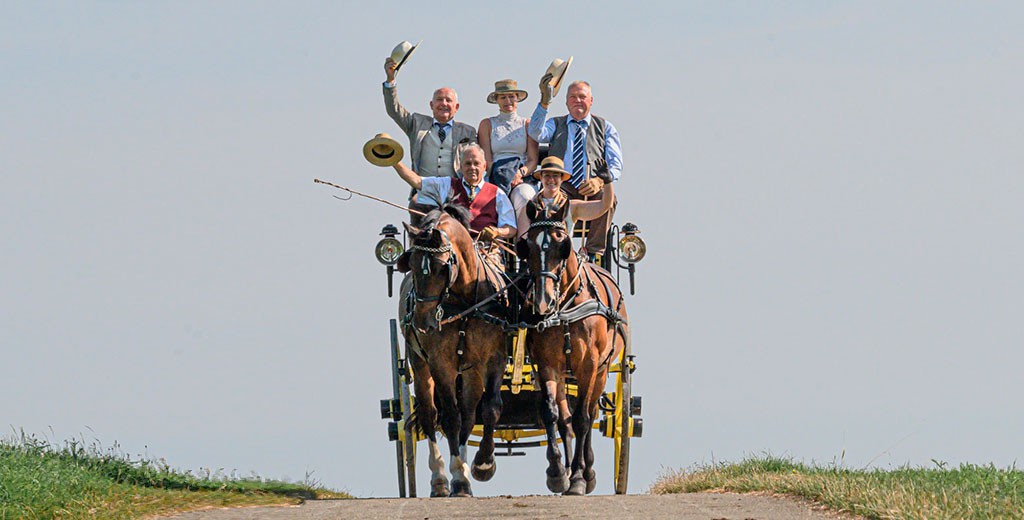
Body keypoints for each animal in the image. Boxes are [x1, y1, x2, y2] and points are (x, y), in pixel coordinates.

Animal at [395, 201, 507, 495]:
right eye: (410, 264)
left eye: (442, 268)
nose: (422, 322)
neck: (465, 302)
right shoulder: (440, 363)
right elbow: (449, 418)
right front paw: (457, 477)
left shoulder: (494, 358)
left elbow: (489, 408)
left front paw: (482, 464)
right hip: (420, 363)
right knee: (430, 413)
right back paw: (441, 478)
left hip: (469, 371)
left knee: (468, 413)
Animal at [516, 199, 626, 495]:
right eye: (527, 246)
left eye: (562, 243)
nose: (542, 302)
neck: (565, 308)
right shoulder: (547, 365)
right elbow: (552, 414)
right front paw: (557, 472)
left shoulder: (588, 365)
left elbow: (583, 419)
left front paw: (578, 477)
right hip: (565, 376)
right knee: (566, 420)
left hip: (601, 370)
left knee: (590, 413)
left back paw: (587, 471)